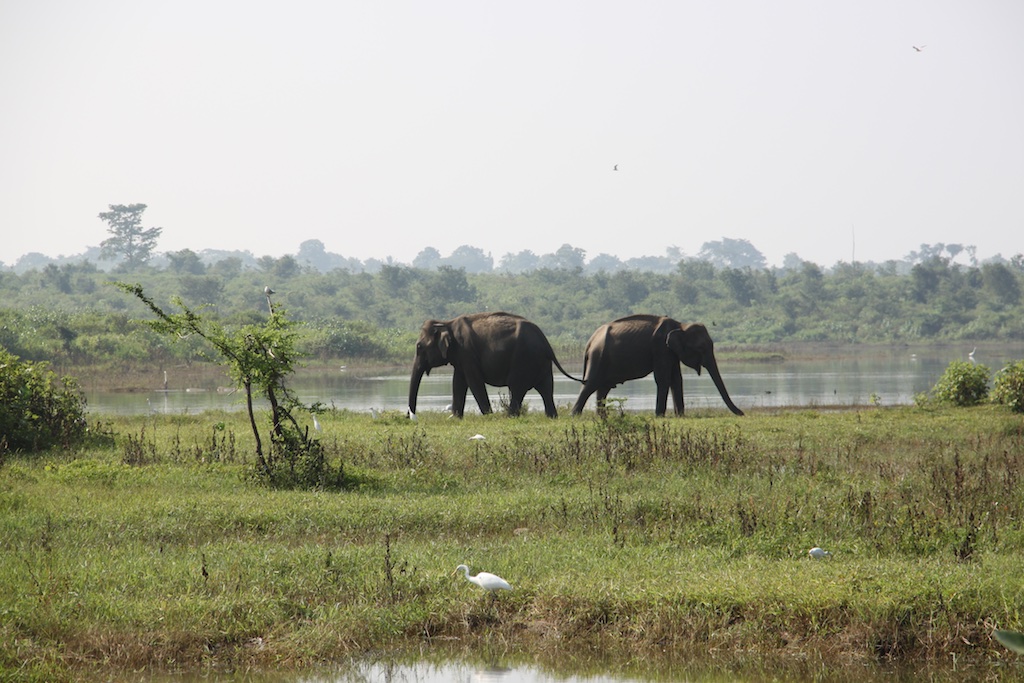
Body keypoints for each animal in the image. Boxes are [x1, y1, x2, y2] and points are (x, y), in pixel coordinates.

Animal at [409, 309, 585, 417]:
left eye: (419, 347)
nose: (409, 416)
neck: (447, 323)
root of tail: (546, 342)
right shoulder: (461, 356)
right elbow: (458, 382)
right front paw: (455, 417)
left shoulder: (467, 352)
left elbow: (474, 382)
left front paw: (488, 416)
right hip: (541, 363)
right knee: (546, 388)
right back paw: (552, 417)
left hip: (524, 359)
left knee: (517, 388)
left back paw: (509, 416)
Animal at [569, 315, 745, 417]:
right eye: (701, 348)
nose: (742, 413)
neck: (680, 325)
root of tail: (590, 341)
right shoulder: (660, 348)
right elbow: (663, 379)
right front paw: (660, 416)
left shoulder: (671, 352)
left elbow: (676, 379)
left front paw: (680, 416)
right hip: (598, 357)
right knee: (591, 384)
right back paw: (574, 415)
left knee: (602, 387)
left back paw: (601, 417)